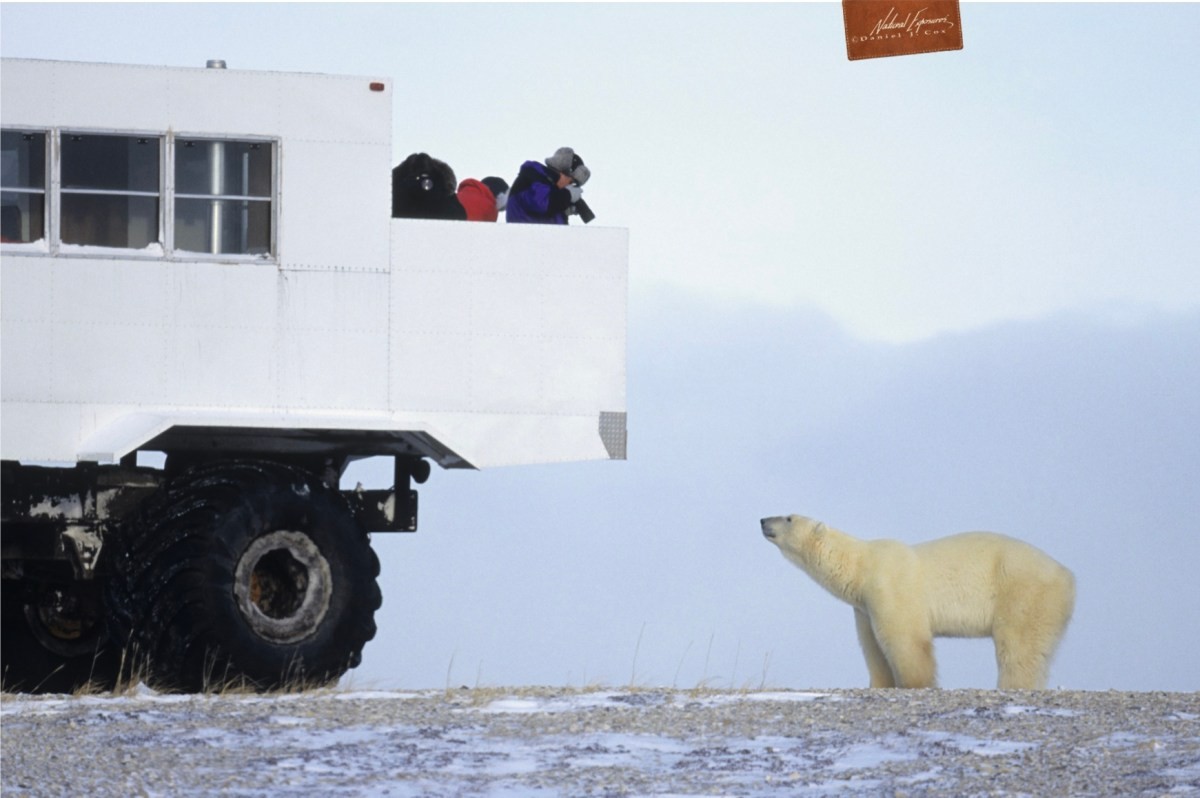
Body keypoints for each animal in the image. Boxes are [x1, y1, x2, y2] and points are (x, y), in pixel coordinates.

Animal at [760, 515, 1075, 690]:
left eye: (789, 517)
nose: (763, 521)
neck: (862, 565)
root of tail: (1067, 576)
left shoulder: (890, 585)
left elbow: (905, 640)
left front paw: (914, 684)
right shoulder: (863, 607)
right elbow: (872, 648)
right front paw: (879, 684)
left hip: (1023, 592)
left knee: (1018, 647)